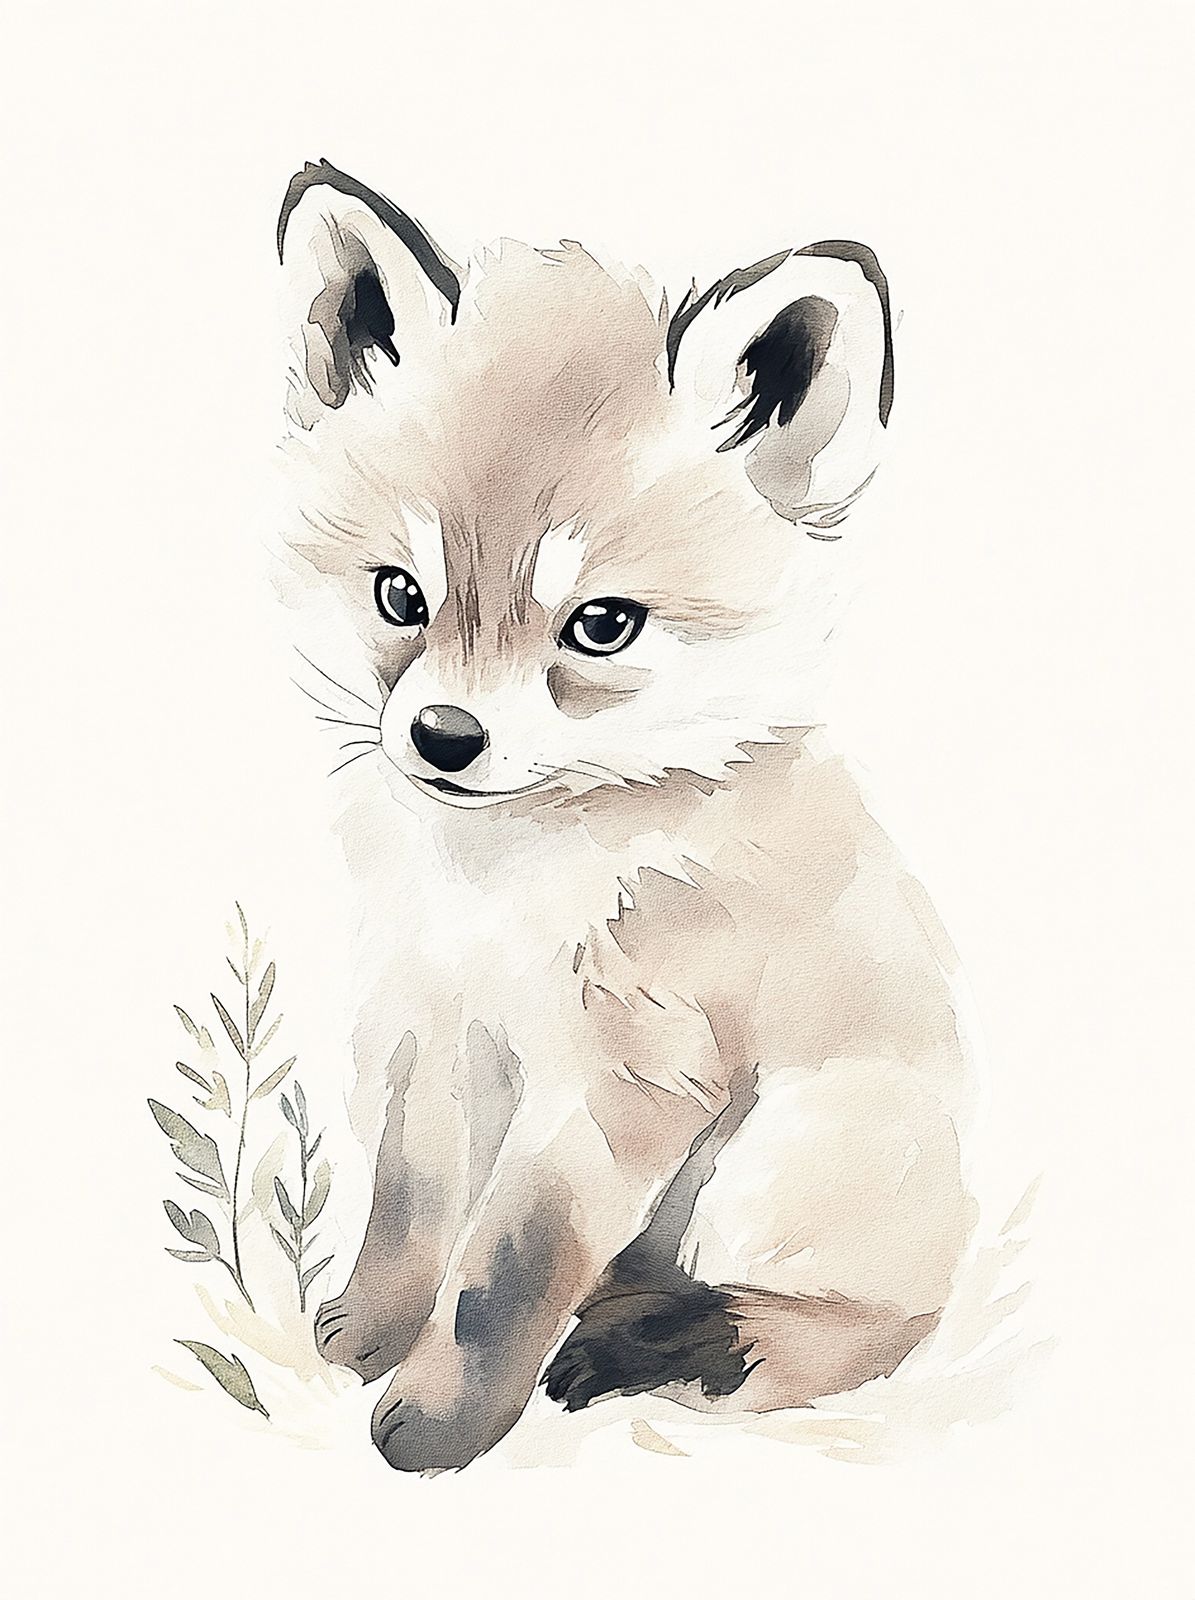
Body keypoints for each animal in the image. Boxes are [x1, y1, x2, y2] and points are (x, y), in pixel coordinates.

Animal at [274, 159, 978, 1473]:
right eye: (400, 595)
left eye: (600, 625)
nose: (442, 738)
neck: (495, 889)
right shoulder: (427, 1022)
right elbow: (411, 1207)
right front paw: (368, 1331)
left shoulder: (627, 1076)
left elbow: (501, 1273)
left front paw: (437, 1422)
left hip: (774, 1161)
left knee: (858, 1329)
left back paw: (686, 1344)